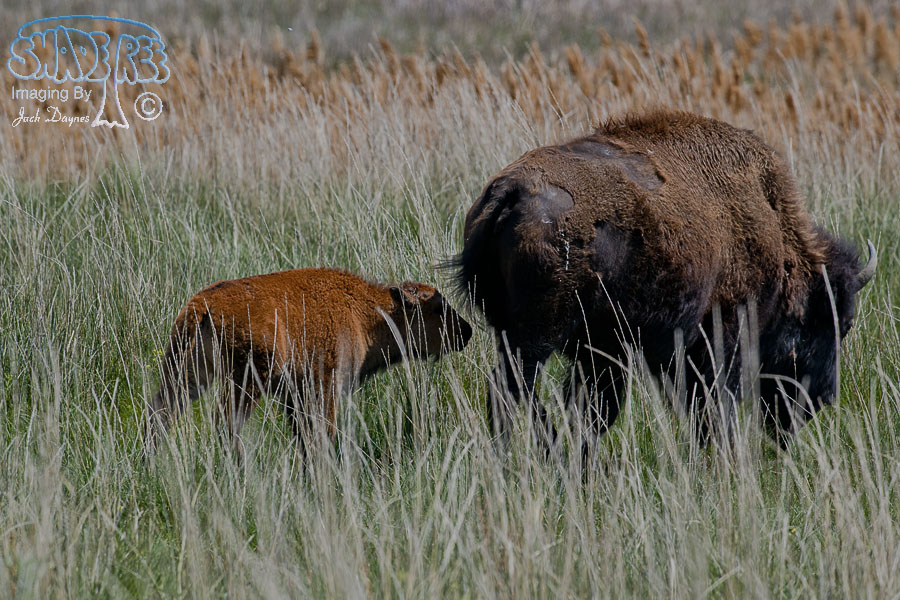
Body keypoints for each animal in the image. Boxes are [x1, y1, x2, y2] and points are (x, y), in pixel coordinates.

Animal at [455, 109, 876, 449]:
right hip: (536, 337)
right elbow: (711, 408)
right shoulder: (718, 343)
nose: (823, 398)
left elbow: (597, 409)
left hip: (515, 332)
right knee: (514, 390)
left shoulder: (606, 352)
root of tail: (509, 192)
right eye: (841, 323)